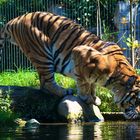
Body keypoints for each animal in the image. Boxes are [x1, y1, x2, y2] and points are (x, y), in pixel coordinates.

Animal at [0, 11, 140, 120]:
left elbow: (92, 84)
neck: (115, 81)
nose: (138, 115)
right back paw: (64, 91)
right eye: (137, 101)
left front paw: (94, 98)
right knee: (46, 83)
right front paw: (86, 98)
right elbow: (83, 82)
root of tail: (16, 19)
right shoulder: (79, 52)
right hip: (41, 53)